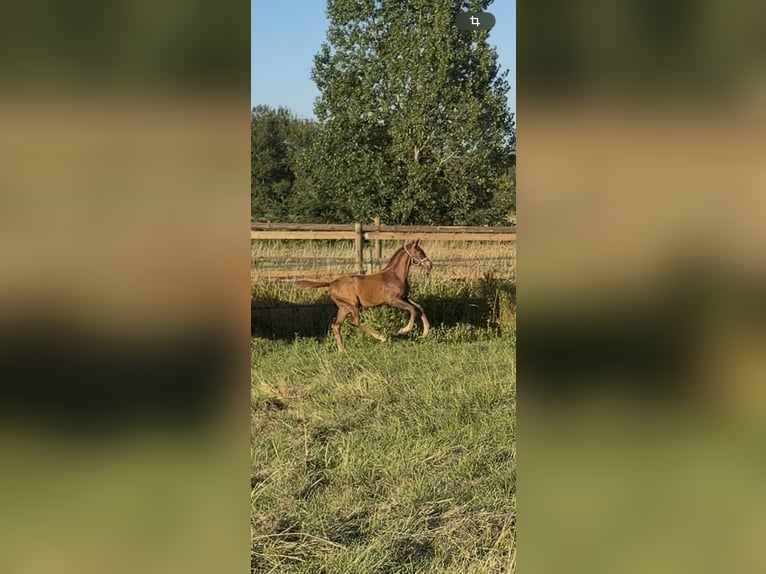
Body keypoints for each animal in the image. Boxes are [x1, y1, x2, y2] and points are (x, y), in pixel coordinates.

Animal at [295, 240, 432, 351]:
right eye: (420, 253)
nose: (430, 265)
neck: (394, 275)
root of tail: (331, 283)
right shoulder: (393, 300)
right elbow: (413, 309)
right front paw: (402, 330)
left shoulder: (404, 297)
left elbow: (419, 307)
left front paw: (425, 332)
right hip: (353, 305)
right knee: (354, 322)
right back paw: (380, 336)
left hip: (343, 308)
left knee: (336, 326)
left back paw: (342, 350)